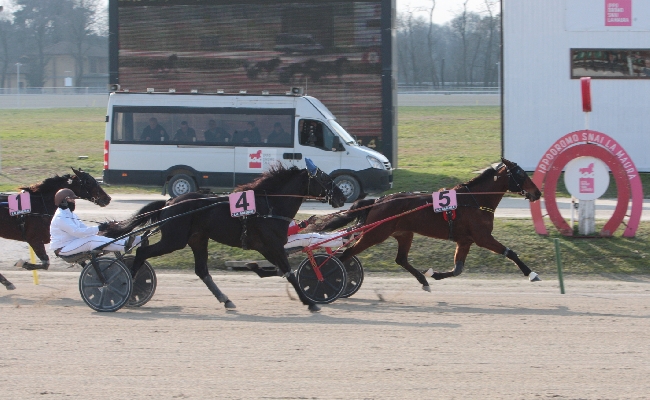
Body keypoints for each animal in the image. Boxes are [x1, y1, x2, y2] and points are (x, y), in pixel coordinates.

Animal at [314, 158, 540, 292]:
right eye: (521, 174)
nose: (537, 193)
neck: (474, 200)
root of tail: (378, 201)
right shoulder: (483, 237)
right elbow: (510, 253)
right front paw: (532, 274)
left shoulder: (465, 241)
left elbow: (457, 269)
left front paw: (434, 274)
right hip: (375, 234)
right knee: (346, 254)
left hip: (403, 233)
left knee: (400, 259)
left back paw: (424, 281)